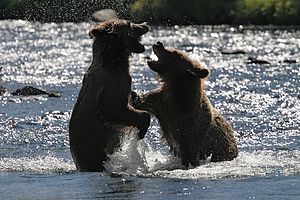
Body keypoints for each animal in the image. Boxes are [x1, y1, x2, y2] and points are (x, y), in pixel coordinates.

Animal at [68, 19, 150, 171]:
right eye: (129, 24)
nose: (145, 24)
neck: (113, 61)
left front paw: (136, 97)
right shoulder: (113, 84)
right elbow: (113, 109)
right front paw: (142, 128)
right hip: (91, 148)